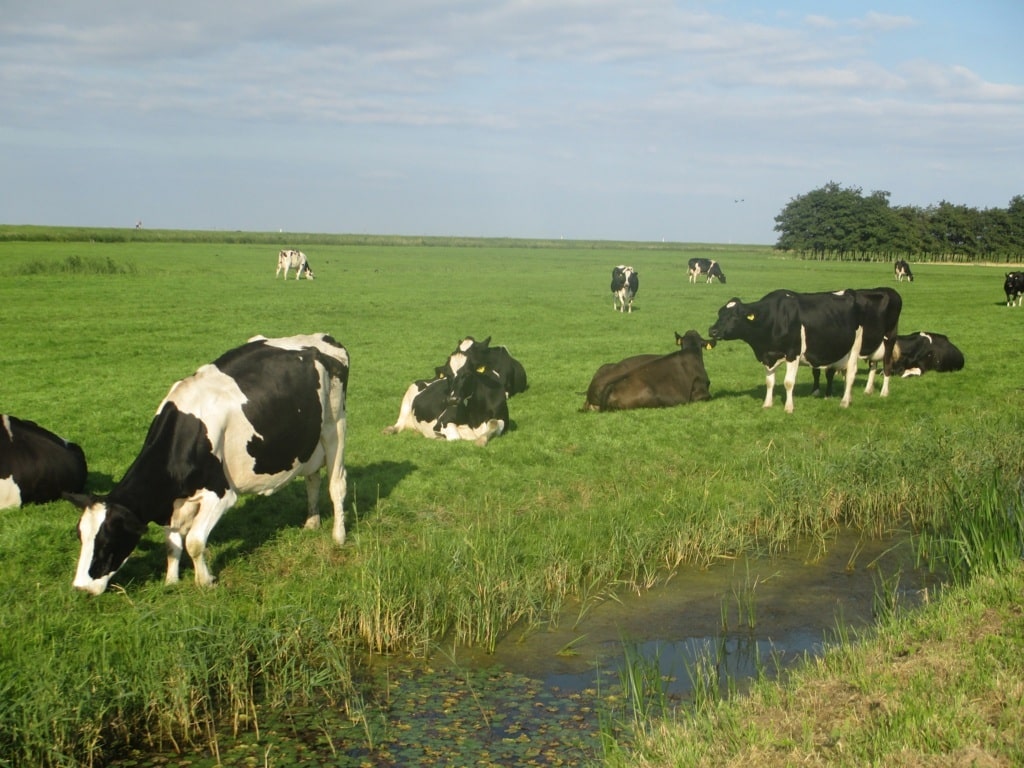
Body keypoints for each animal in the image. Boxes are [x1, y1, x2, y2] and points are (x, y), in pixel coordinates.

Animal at [68, 333, 350, 598]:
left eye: (107, 542)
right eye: (80, 536)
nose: (80, 588)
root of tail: (321, 338)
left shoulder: (221, 494)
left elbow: (193, 541)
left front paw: (205, 581)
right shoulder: (173, 502)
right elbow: (172, 544)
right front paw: (171, 580)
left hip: (334, 427)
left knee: (336, 484)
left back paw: (339, 536)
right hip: (309, 443)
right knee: (312, 478)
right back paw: (311, 522)